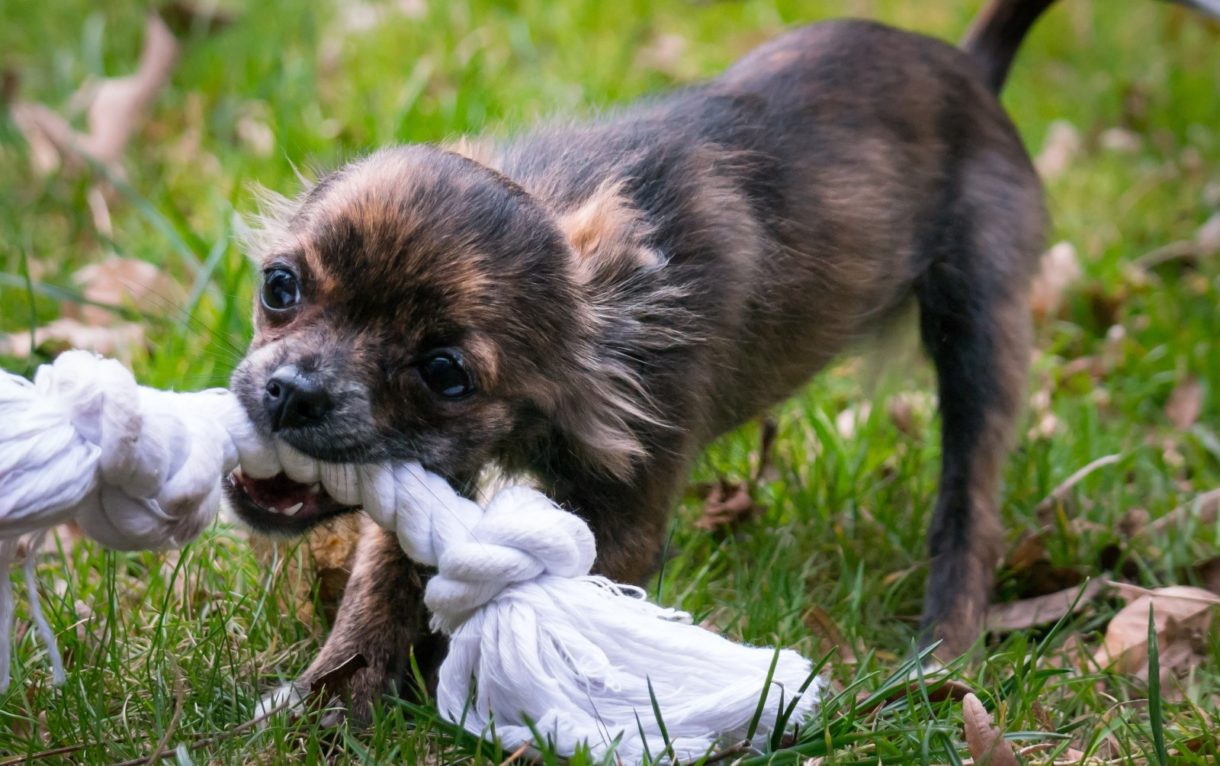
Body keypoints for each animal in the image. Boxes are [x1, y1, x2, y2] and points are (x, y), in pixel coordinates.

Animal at [226, 0, 1210, 717]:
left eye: (445, 374)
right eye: (280, 286)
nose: (292, 393)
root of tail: (971, 68)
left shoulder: (623, 514)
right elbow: (379, 588)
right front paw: (328, 708)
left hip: (981, 331)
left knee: (969, 507)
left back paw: (941, 653)